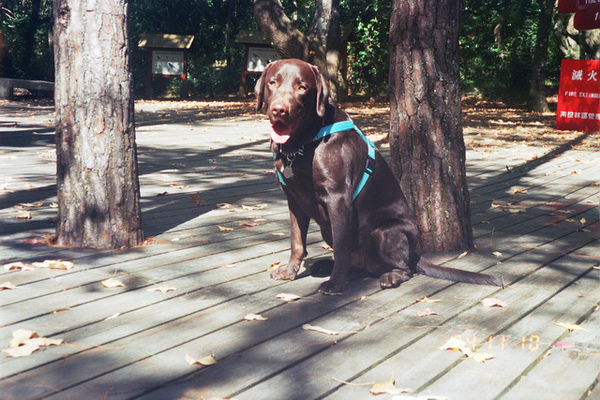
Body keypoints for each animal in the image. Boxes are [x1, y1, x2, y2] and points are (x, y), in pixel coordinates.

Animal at [254, 58, 502, 294]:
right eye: (272, 83)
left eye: (302, 87)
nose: (279, 110)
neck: (302, 145)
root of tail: (414, 253)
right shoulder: (294, 200)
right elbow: (297, 242)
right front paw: (289, 272)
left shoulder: (337, 198)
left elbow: (341, 248)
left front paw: (335, 284)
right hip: (330, 231)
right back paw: (325, 265)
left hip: (385, 232)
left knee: (403, 268)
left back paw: (390, 276)